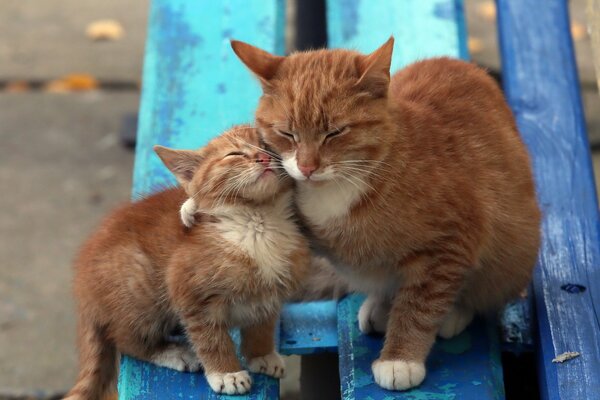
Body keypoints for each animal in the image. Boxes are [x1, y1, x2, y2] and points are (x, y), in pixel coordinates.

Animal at [65, 124, 310, 396]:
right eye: (235, 154)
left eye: (267, 146)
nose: (264, 158)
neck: (258, 221)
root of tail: (83, 290)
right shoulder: (190, 291)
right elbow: (211, 338)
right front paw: (226, 373)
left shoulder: (270, 294)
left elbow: (262, 326)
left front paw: (261, 354)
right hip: (140, 287)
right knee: (126, 339)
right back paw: (172, 352)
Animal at [227, 39, 540, 390]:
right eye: (287, 134)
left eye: (335, 133)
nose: (307, 168)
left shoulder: (450, 246)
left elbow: (420, 305)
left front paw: (401, 359)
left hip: (512, 255)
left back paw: (452, 312)